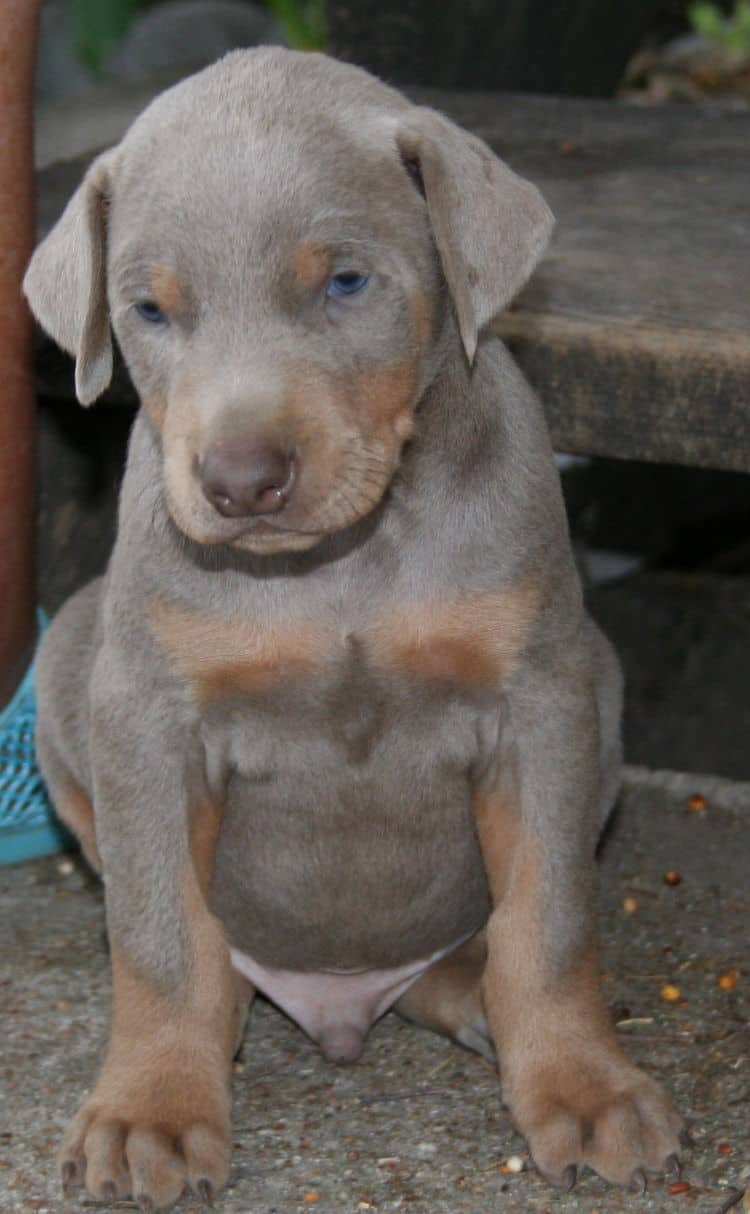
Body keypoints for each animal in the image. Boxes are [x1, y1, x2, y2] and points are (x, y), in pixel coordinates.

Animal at [23, 47, 679, 1214]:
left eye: (345, 283)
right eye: (147, 309)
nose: (240, 483)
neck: (342, 562)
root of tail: (342, 1002)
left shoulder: (542, 697)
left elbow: (551, 922)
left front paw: (586, 1085)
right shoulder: (145, 714)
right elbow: (159, 938)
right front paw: (151, 1109)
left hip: (599, 679)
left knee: (475, 950)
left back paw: (476, 1001)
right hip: (68, 662)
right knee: (212, 957)